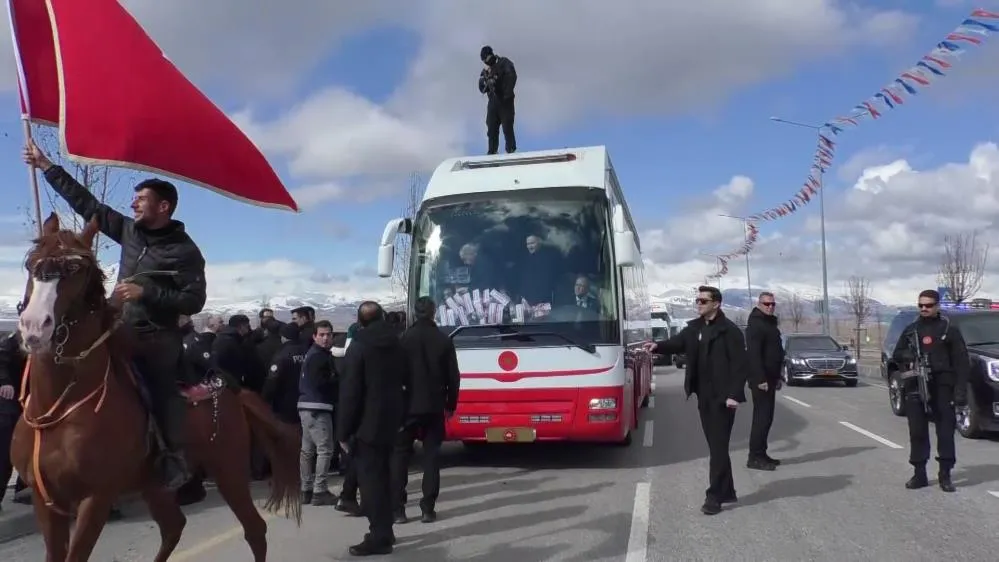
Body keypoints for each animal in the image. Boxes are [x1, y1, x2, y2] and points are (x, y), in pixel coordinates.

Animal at [10, 212, 300, 556]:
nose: (33, 327)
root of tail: (232, 390)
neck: (59, 409)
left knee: (254, 529)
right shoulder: (47, 502)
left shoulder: (96, 499)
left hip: (228, 468)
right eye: (32, 264)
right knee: (174, 526)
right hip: (155, 485)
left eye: (75, 270)